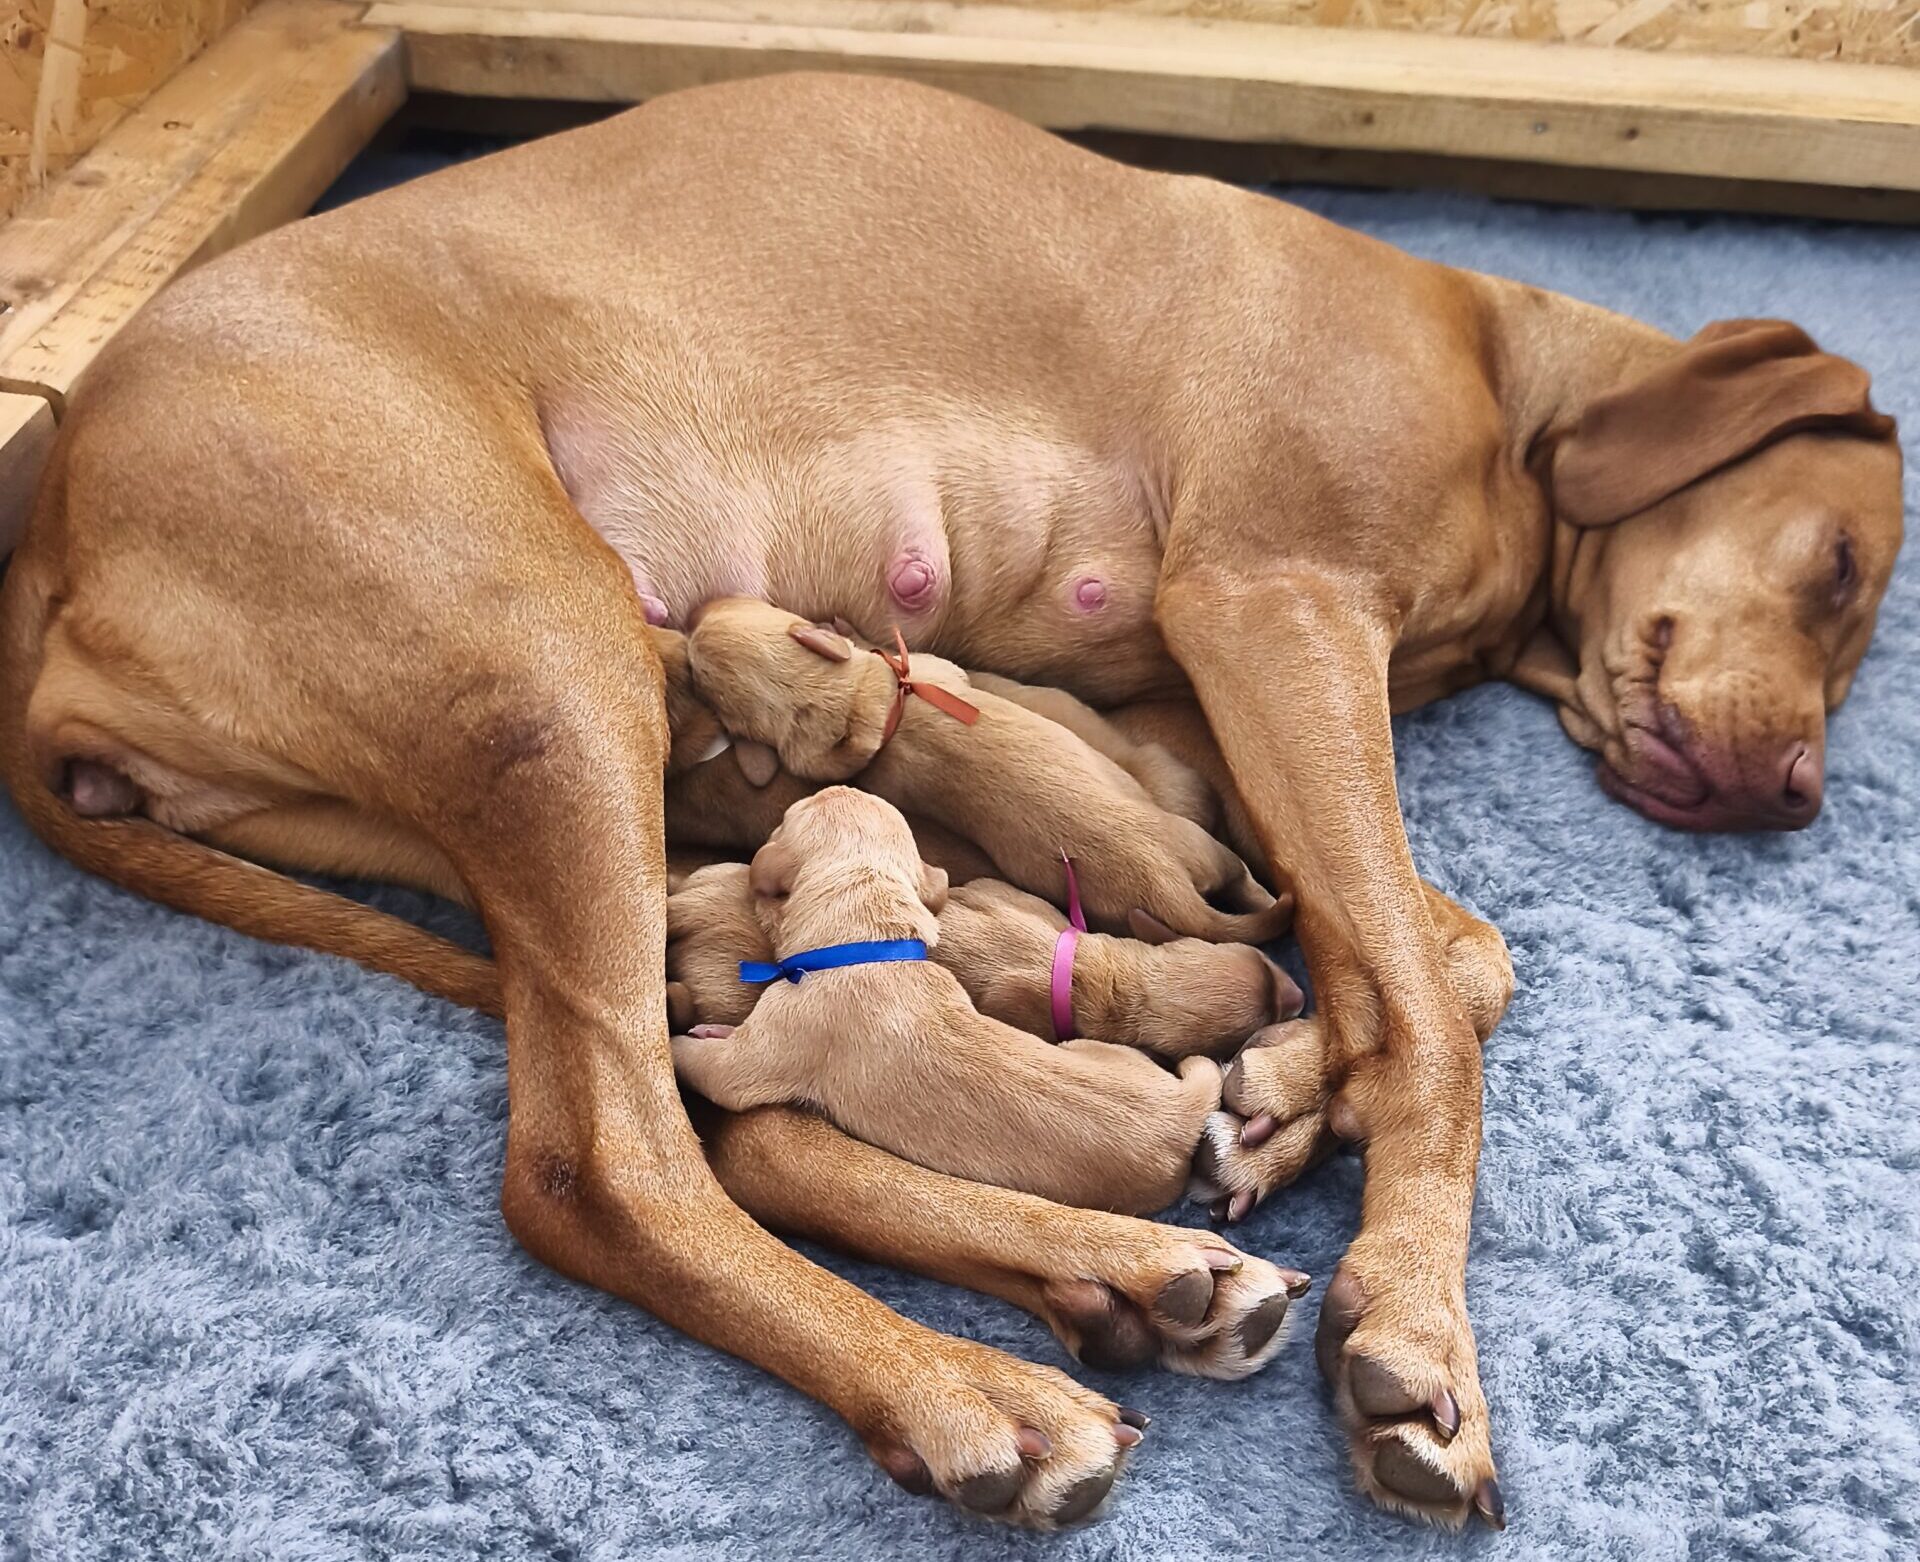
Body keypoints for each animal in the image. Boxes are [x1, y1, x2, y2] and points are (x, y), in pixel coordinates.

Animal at [2, 72, 1901, 1527]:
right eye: (1842, 569)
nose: (1796, 799)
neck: (1507, 379)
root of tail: (53, 518)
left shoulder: (1186, 715)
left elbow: (1449, 954)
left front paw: (1285, 1088)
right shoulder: (1275, 611)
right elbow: (1432, 1009)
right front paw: (1422, 1331)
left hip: (609, 779)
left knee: (752, 1120)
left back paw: (1118, 1272)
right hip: (549, 675)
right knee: (604, 1165)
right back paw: (965, 1387)